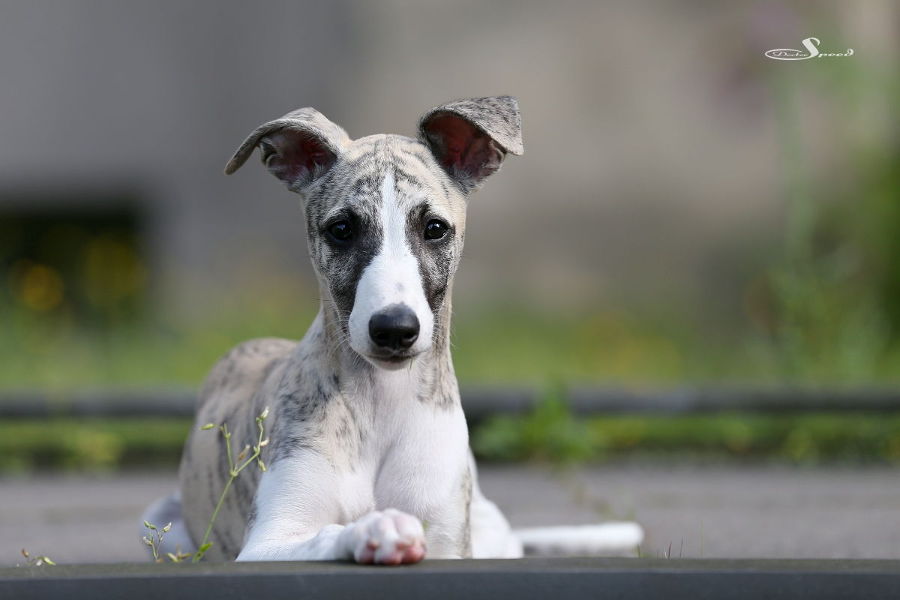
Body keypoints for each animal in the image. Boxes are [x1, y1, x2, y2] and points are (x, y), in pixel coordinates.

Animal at [143, 96, 642, 563]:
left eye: (435, 228)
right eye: (341, 228)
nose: (394, 329)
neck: (381, 404)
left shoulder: (450, 544)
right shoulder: (269, 541)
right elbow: (327, 532)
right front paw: (375, 530)